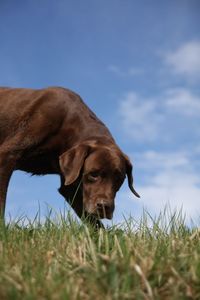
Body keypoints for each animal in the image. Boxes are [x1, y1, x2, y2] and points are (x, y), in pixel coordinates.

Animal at [0, 85, 139, 226]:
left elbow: (94, 222)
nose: (105, 207)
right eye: (93, 174)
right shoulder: (7, 155)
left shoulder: (71, 186)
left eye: (119, 178)